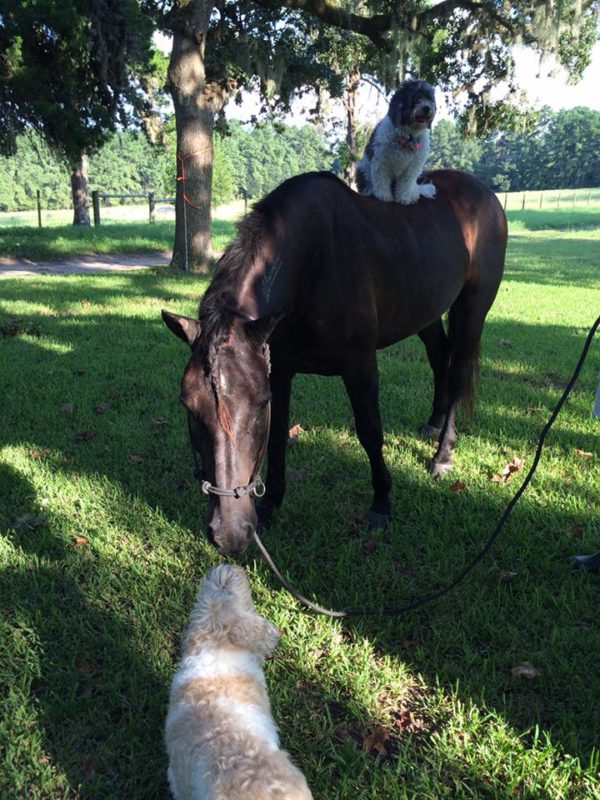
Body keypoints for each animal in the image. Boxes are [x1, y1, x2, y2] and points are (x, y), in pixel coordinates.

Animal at [163, 170, 506, 556]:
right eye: (188, 405)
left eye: (259, 403)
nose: (230, 534)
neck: (312, 263)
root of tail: (483, 193)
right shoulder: (279, 370)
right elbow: (278, 436)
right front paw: (270, 506)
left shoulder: (360, 367)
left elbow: (370, 432)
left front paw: (381, 504)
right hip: (426, 311)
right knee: (439, 357)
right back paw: (432, 423)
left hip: (472, 307)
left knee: (458, 372)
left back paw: (442, 455)